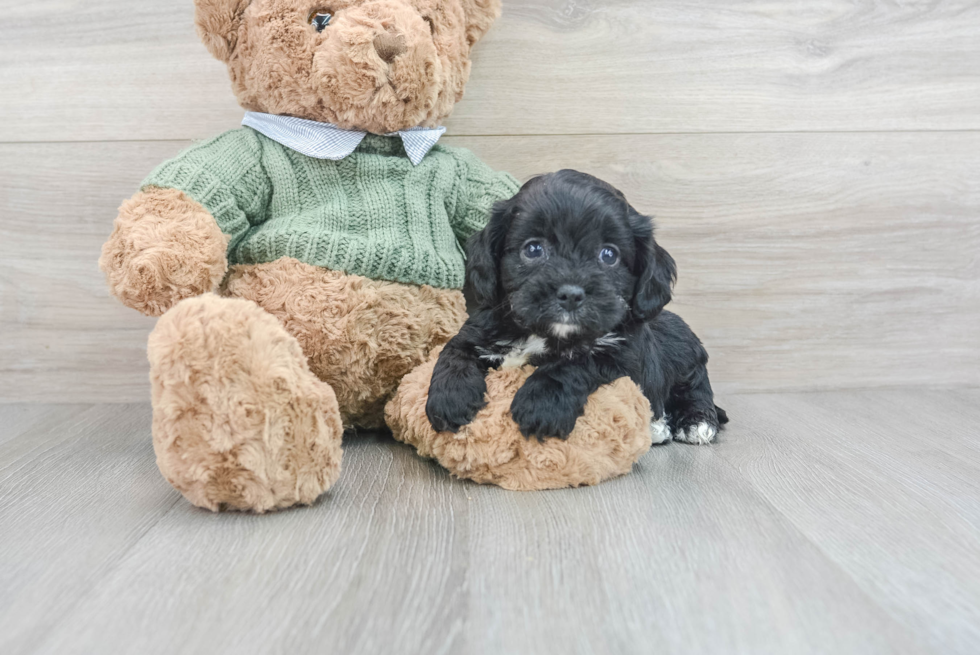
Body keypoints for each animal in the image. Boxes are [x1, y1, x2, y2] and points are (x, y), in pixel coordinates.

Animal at [426, 169, 728, 446]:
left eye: (609, 255)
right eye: (533, 249)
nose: (570, 294)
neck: (544, 333)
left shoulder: (626, 357)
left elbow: (576, 362)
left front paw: (542, 405)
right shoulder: (480, 328)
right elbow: (454, 351)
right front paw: (450, 397)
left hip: (690, 367)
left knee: (696, 393)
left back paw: (694, 423)